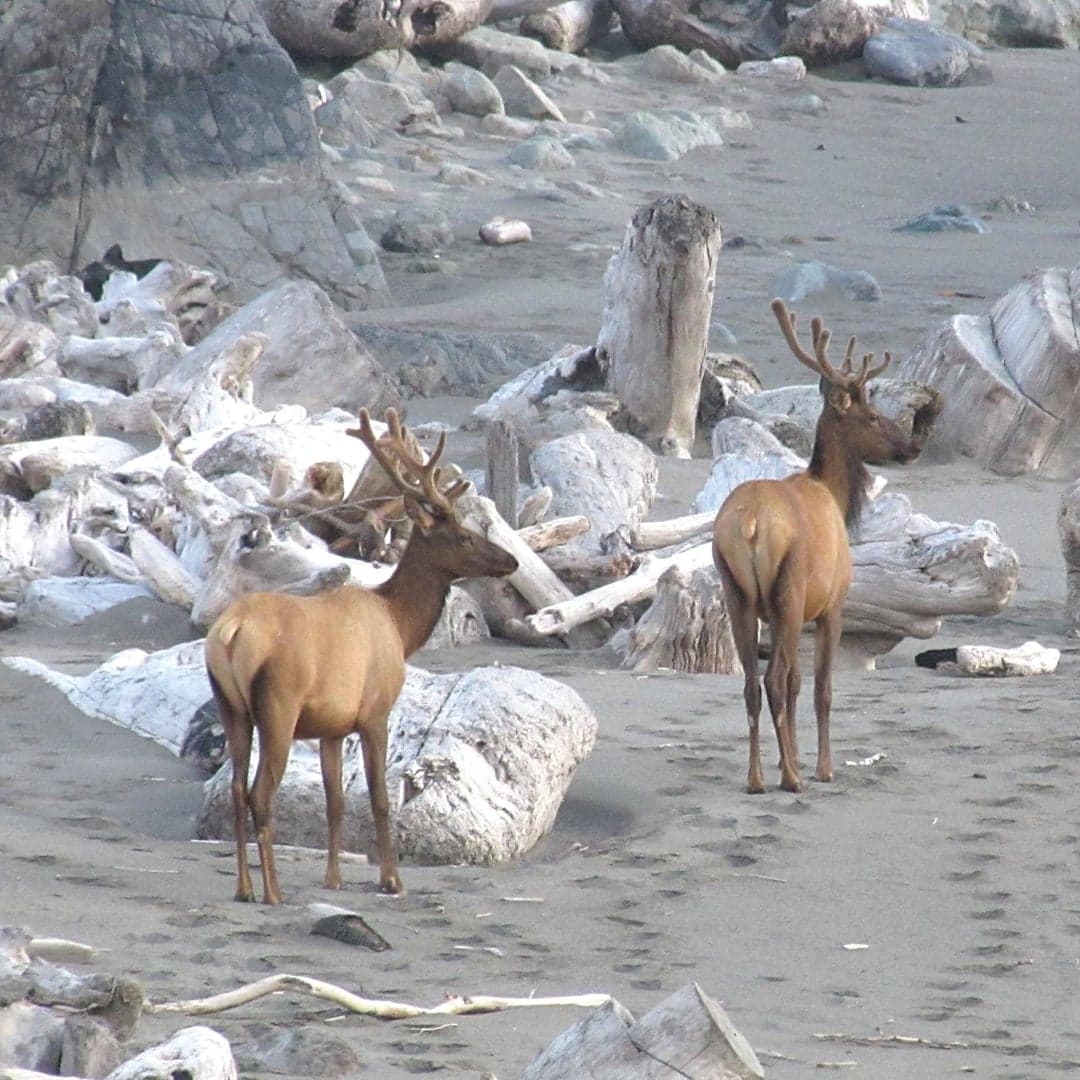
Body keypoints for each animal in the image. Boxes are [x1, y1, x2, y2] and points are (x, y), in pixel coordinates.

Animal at [204, 408, 519, 904]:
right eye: (463, 536)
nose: (512, 561)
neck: (399, 625)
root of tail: (230, 633)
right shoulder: (375, 712)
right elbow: (379, 797)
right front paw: (392, 880)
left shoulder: (332, 727)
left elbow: (335, 801)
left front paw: (333, 879)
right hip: (278, 705)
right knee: (259, 793)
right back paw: (273, 891)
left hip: (230, 705)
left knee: (236, 788)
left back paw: (245, 888)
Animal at [712, 298, 935, 795]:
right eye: (872, 416)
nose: (912, 446)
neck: (833, 493)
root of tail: (751, 524)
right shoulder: (832, 603)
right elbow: (820, 687)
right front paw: (820, 767)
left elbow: (798, 683)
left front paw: (790, 757)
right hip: (790, 590)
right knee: (773, 680)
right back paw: (792, 779)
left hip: (736, 591)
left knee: (753, 683)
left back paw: (757, 778)